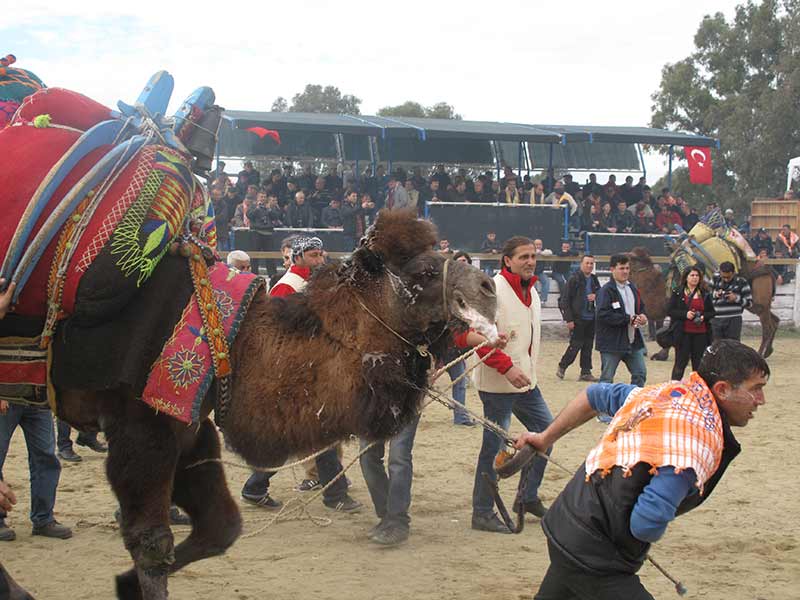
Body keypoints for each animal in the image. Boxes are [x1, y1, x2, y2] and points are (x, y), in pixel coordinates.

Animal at [51, 209, 494, 596]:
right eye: (423, 272)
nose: (488, 290)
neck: (234, 343)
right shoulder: (142, 420)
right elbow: (153, 545)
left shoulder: (190, 424)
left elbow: (219, 528)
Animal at [628, 246, 780, 358]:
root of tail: (769, 271)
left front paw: (660, 354)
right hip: (759, 304)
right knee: (774, 320)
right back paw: (768, 351)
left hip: (759, 299)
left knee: (767, 326)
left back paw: (760, 353)